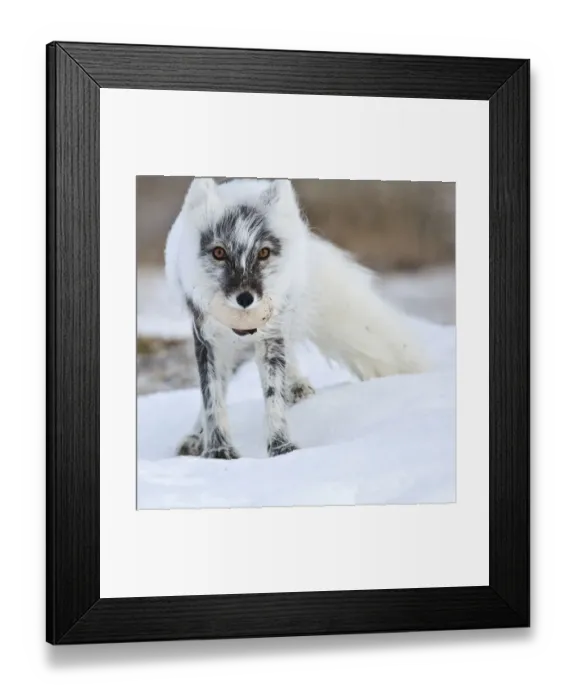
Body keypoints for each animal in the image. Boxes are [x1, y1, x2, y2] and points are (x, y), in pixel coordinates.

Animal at [165, 177, 427, 459]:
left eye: (264, 253)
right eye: (219, 253)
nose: (245, 298)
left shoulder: (271, 335)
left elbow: (273, 394)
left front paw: (281, 446)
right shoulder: (207, 339)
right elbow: (212, 398)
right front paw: (218, 450)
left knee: (287, 355)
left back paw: (296, 386)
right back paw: (195, 437)